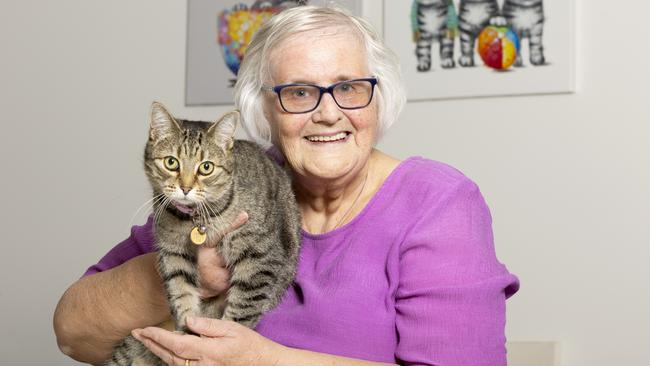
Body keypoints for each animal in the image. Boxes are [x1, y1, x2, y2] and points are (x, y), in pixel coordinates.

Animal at [105, 103, 300, 366]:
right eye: (171, 162)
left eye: (206, 167)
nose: (185, 188)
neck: (194, 220)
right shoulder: (173, 252)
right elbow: (180, 292)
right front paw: (186, 328)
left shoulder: (261, 258)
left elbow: (240, 312)